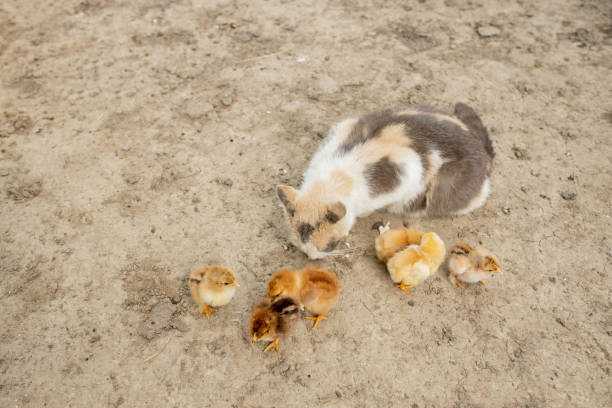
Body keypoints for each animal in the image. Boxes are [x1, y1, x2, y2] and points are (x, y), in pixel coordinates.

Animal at [280, 103, 494, 260]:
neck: (337, 176)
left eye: (331, 244)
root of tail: (480, 147)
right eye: (299, 245)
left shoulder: (407, 172)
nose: (311, 256)